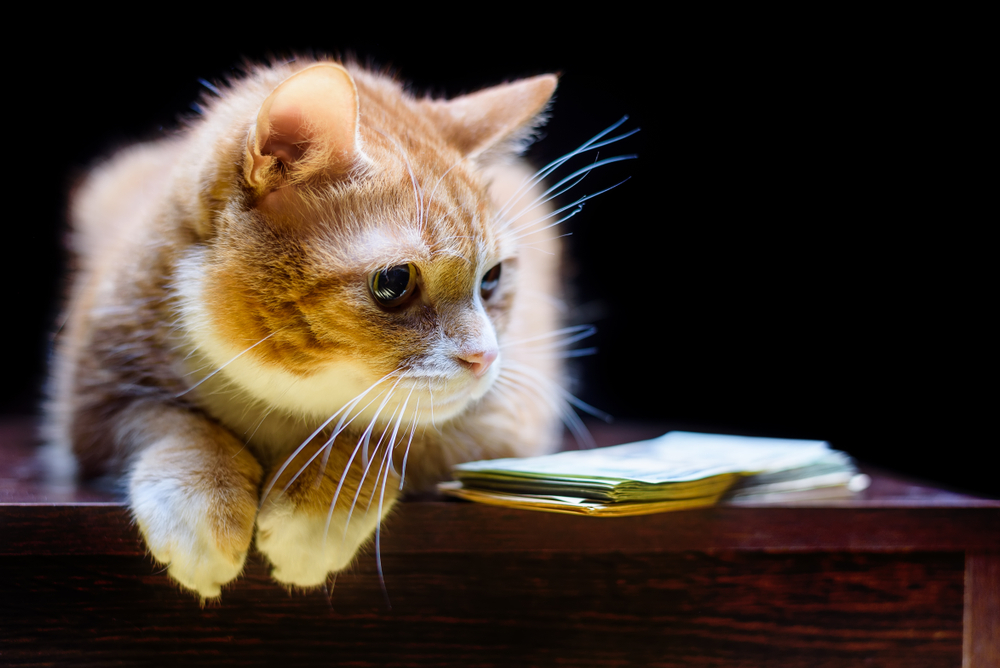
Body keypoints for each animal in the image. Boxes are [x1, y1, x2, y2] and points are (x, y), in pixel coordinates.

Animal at [47, 58, 628, 600]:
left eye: (493, 279)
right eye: (394, 282)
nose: (485, 358)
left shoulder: (503, 419)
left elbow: (383, 434)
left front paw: (314, 507)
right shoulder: (92, 403)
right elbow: (173, 423)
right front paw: (202, 497)